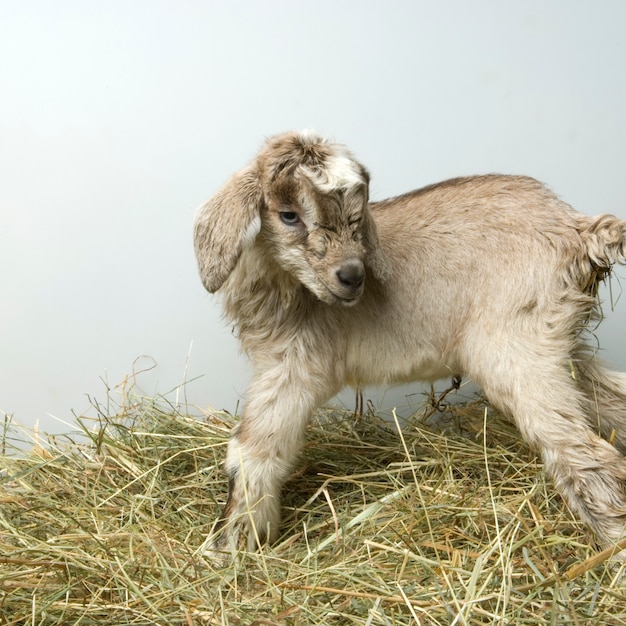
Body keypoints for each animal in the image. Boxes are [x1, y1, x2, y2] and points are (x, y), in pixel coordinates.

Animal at [194, 128, 624, 556]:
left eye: (356, 218)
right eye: (288, 215)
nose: (352, 276)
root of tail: (576, 228)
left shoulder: (291, 368)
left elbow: (253, 450)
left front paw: (229, 546)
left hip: (515, 347)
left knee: (583, 451)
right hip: (557, 338)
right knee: (611, 398)